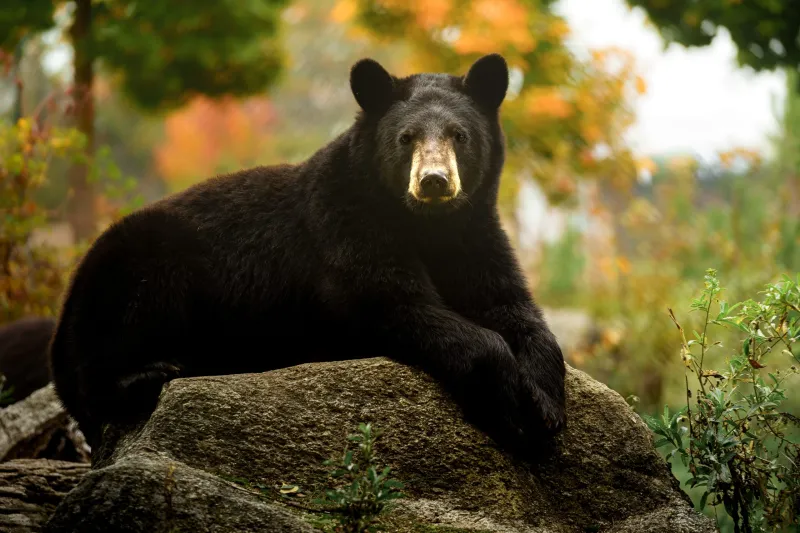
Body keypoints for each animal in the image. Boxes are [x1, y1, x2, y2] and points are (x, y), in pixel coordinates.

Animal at [49, 54, 566, 456]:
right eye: (406, 138)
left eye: (460, 135)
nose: (434, 182)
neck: (426, 225)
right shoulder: (343, 225)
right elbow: (392, 300)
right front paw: (514, 403)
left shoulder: (473, 235)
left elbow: (508, 304)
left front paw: (546, 401)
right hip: (141, 261)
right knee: (113, 336)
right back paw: (148, 373)